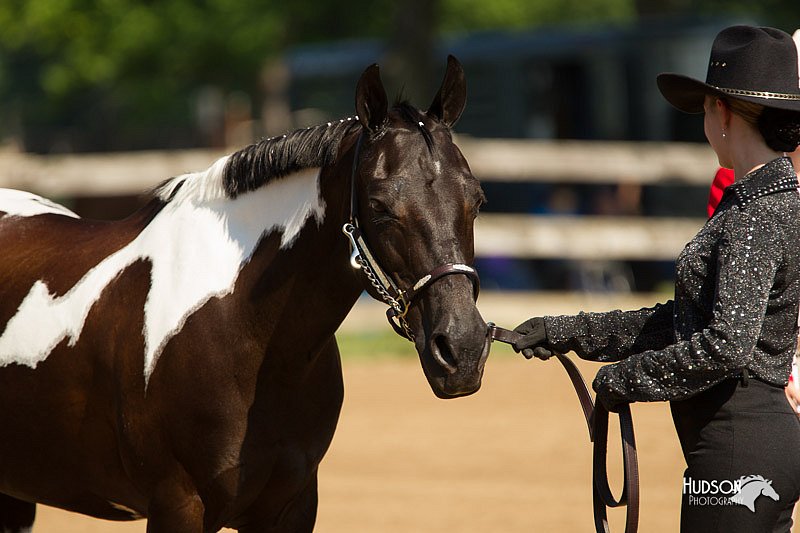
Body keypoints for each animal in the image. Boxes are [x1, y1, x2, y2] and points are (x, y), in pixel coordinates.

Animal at [0, 56, 488, 528]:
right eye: (380, 206)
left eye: (477, 200)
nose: (462, 349)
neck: (249, 337)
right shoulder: (178, 505)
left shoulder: (291, 507)